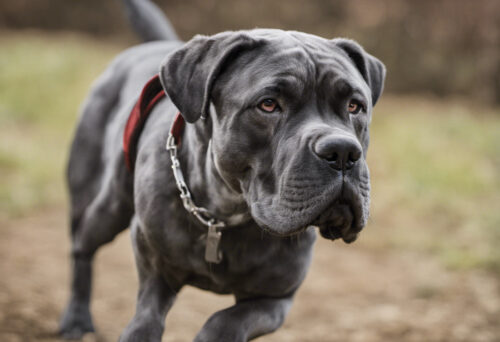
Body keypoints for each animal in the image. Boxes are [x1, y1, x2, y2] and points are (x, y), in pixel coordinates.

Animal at [58, 1, 386, 340]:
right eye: (268, 104)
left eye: (354, 106)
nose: (342, 152)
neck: (227, 213)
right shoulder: (155, 268)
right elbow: (146, 317)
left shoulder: (275, 298)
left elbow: (226, 321)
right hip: (107, 206)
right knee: (82, 246)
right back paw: (77, 317)